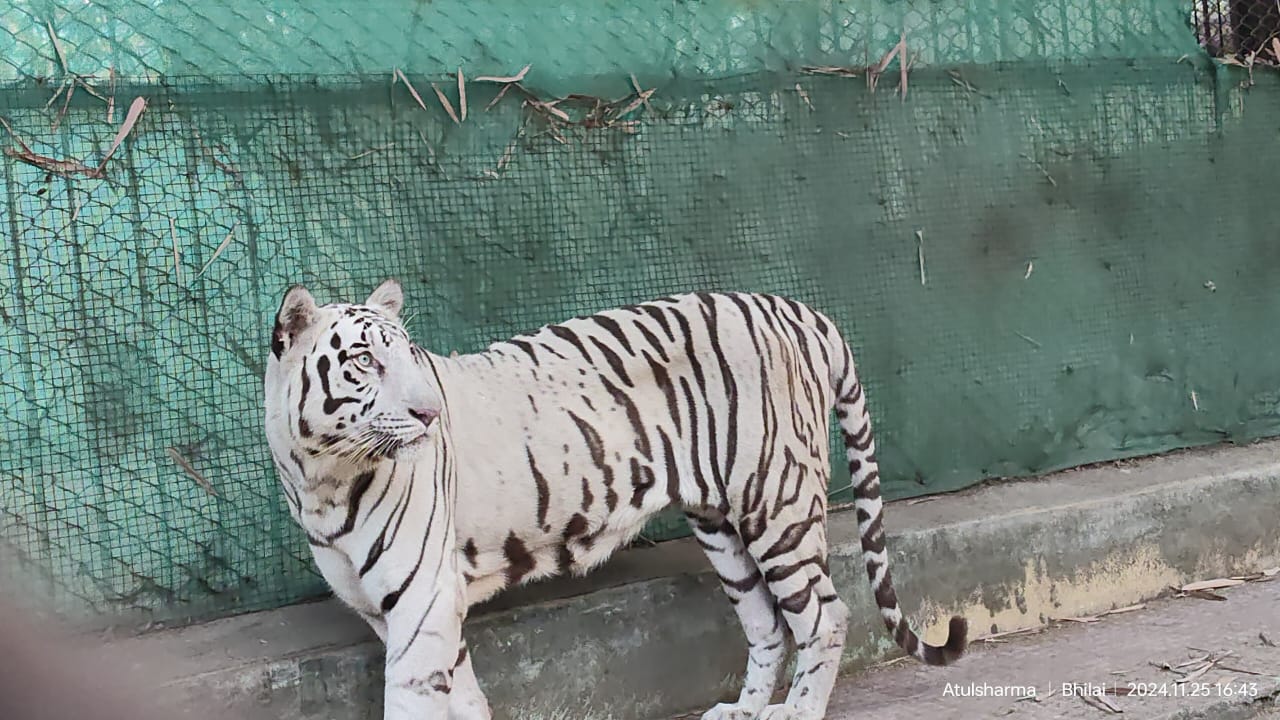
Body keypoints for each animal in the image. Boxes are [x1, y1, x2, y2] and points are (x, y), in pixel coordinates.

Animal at [262, 279, 962, 717]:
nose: (429, 414)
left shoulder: (421, 601)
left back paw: (795, 712)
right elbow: (462, 696)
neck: (319, 476)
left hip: (777, 508)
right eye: (363, 362)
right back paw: (741, 711)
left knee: (824, 616)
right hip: (721, 528)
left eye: (409, 358)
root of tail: (803, 312)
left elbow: (413, 701)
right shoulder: (404, 610)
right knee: (767, 624)